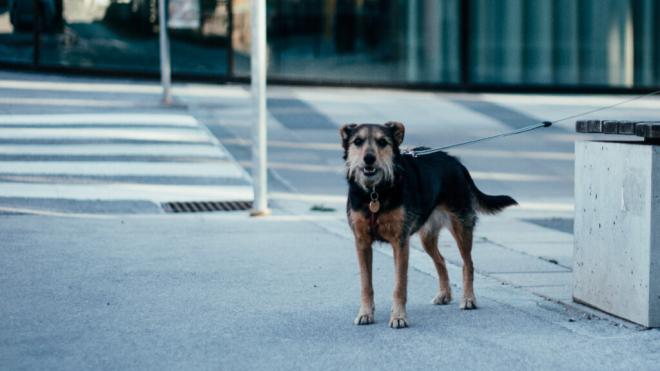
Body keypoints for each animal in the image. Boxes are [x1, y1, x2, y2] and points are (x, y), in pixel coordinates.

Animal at [342, 121, 520, 328]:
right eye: (357, 141)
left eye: (383, 142)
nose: (369, 158)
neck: (375, 193)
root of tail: (456, 162)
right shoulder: (362, 242)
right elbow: (365, 284)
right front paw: (365, 313)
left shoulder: (400, 243)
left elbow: (399, 285)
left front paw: (399, 317)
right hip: (427, 237)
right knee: (440, 260)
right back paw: (444, 294)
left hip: (461, 227)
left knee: (468, 264)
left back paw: (468, 299)